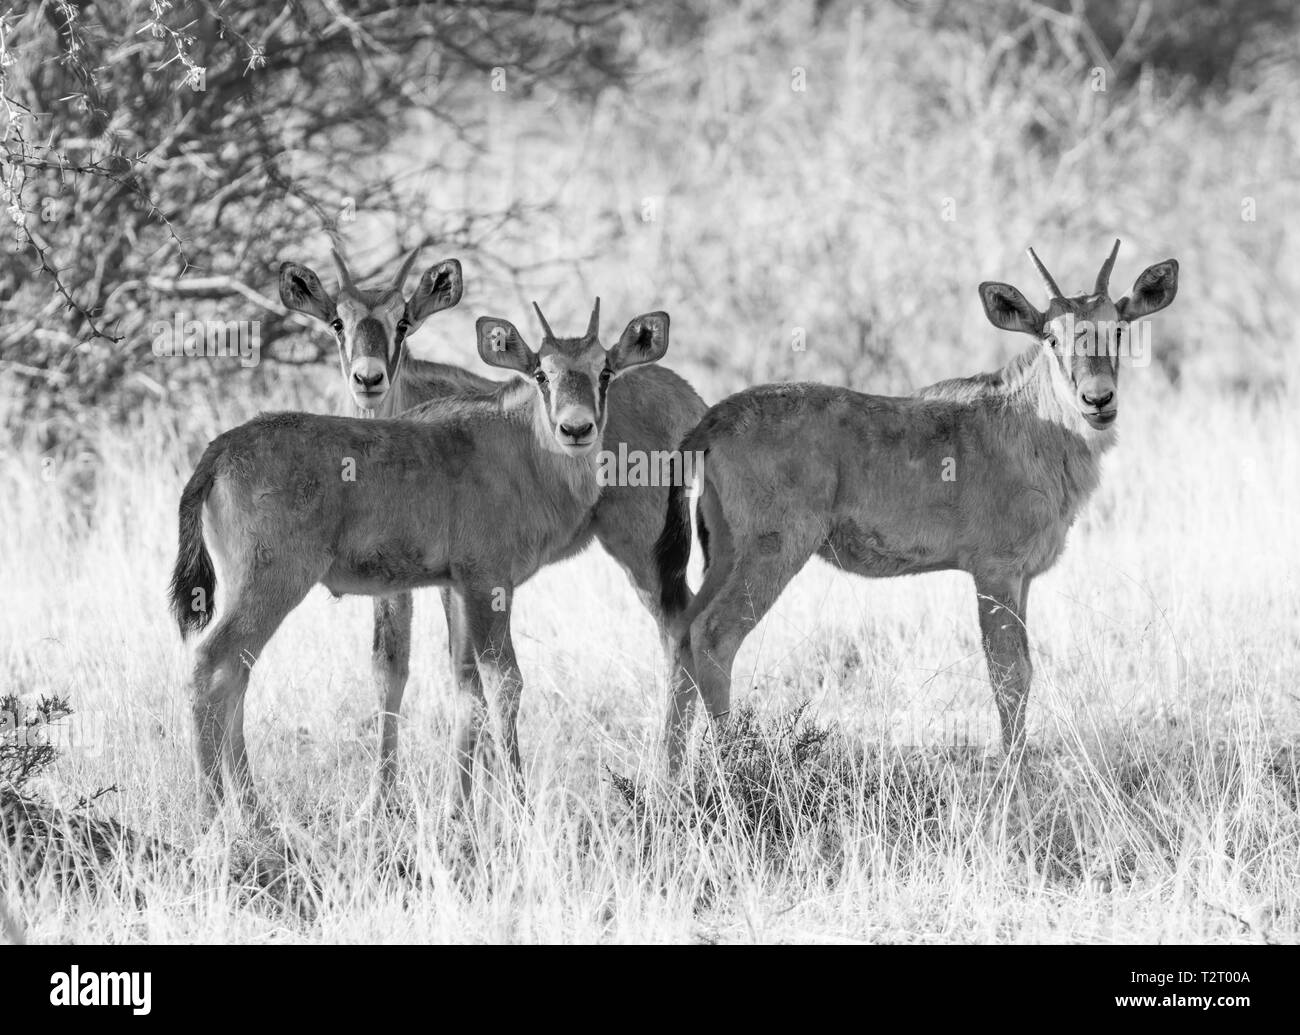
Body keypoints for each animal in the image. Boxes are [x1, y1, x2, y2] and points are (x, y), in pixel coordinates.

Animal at [170, 298, 675, 822]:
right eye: (541, 373)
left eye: (605, 371)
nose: (576, 429)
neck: (522, 447)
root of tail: (221, 451)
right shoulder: (488, 584)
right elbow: (504, 683)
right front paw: (519, 807)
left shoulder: (458, 588)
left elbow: (468, 689)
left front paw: (461, 811)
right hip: (272, 584)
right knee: (213, 665)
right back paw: (214, 812)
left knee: (236, 675)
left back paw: (253, 810)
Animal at [275, 248, 707, 807]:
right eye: (337, 322)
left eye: (402, 321)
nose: (368, 380)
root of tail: (687, 398)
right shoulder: (403, 580)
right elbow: (392, 666)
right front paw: (384, 800)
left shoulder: (461, 579)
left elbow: (467, 676)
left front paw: (469, 798)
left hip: (642, 549)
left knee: (679, 629)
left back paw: (666, 778)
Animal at [655, 241, 1178, 766]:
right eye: (1051, 337)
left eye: (1117, 328)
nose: (1098, 400)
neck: (1029, 421)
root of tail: (710, 422)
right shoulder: (995, 571)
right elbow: (1009, 673)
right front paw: (1014, 770)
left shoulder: (1023, 577)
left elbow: (1024, 669)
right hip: (774, 550)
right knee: (714, 635)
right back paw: (735, 766)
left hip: (726, 554)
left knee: (682, 633)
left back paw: (672, 773)